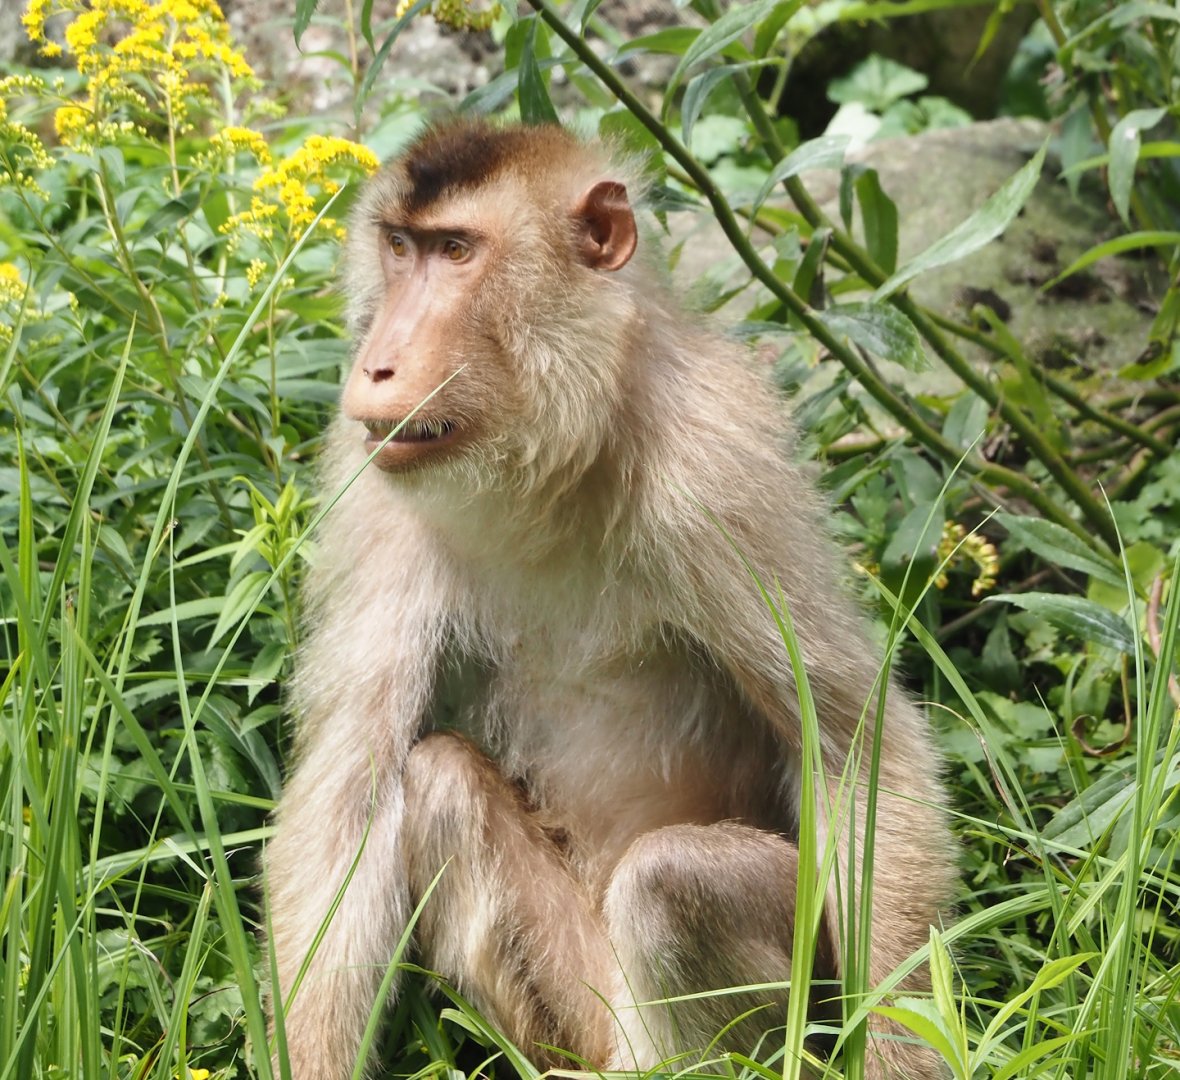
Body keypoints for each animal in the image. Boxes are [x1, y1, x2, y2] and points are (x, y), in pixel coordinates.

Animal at [264, 118, 956, 1080]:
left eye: (456, 251)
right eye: (398, 249)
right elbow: (348, 789)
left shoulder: (717, 465)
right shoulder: (378, 498)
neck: (553, 459)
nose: (375, 366)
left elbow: (854, 745)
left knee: (674, 879)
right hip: (581, 997)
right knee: (440, 782)